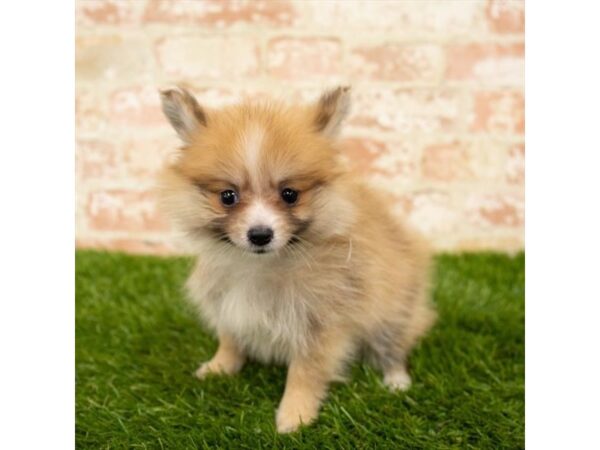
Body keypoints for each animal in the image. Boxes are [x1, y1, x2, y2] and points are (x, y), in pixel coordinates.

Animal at [157, 86, 434, 434]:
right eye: (227, 196)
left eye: (290, 194)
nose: (260, 234)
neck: (262, 265)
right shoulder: (227, 301)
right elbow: (230, 338)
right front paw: (219, 367)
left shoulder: (320, 322)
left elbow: (305, 372)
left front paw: (295, 415)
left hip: (394, 312)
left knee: (393, 346)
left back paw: (397, 381)